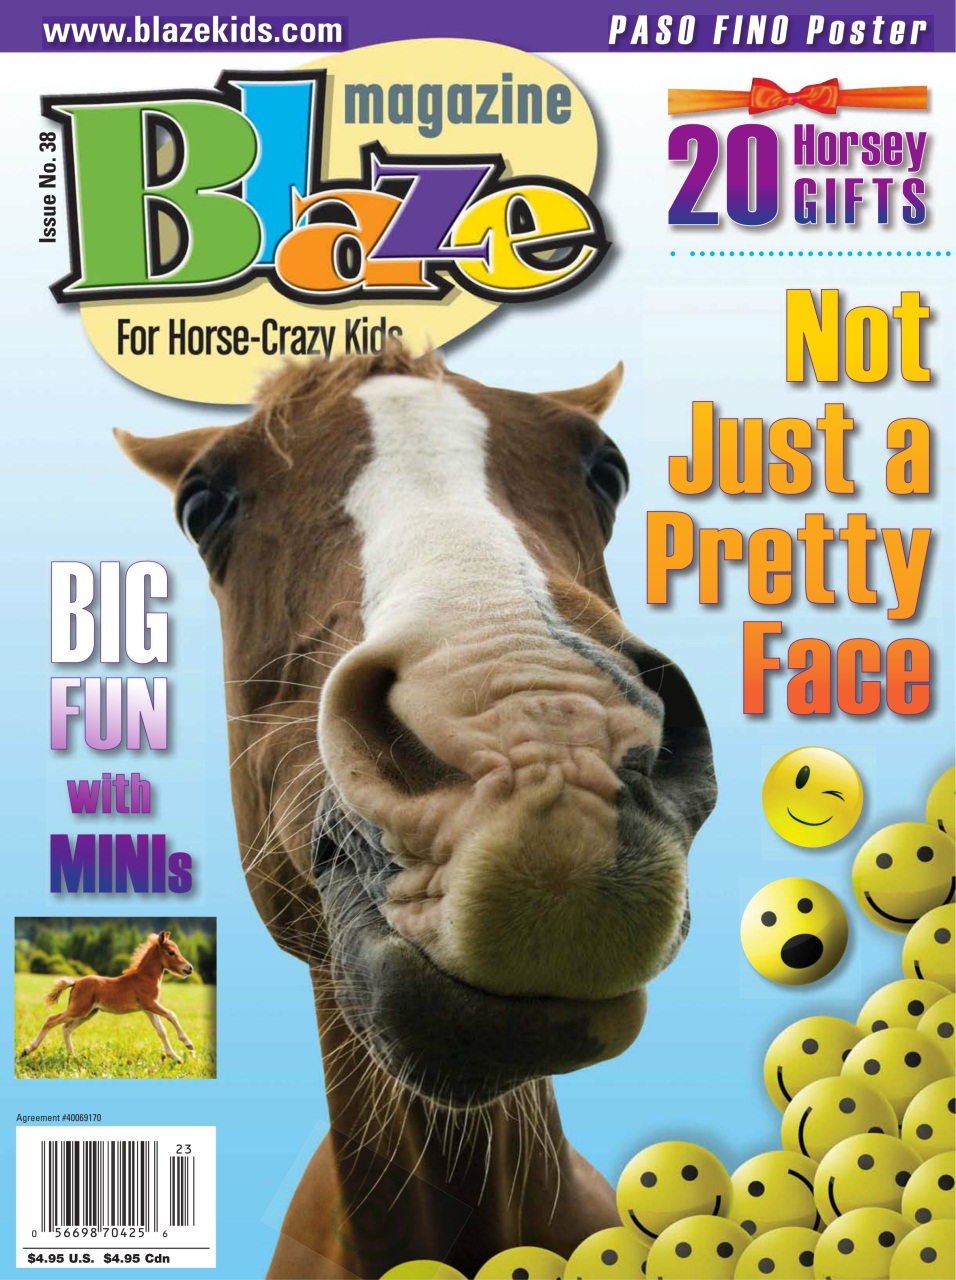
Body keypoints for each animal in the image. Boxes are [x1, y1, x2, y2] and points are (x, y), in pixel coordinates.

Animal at [21, 930, 195, 1064]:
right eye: (171, 952)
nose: (189, 968)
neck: (144, 978)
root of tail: (76, 982)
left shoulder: (148, 1009)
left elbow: (161, 1031)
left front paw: (176, 1057)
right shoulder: (150, 1004)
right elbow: (172, 1015)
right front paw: (189, 1045)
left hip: (88, 1013)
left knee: (66, 1028)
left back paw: (73, 1057)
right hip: (79, 1009)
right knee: (51, 1020)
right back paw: (27, 1050)